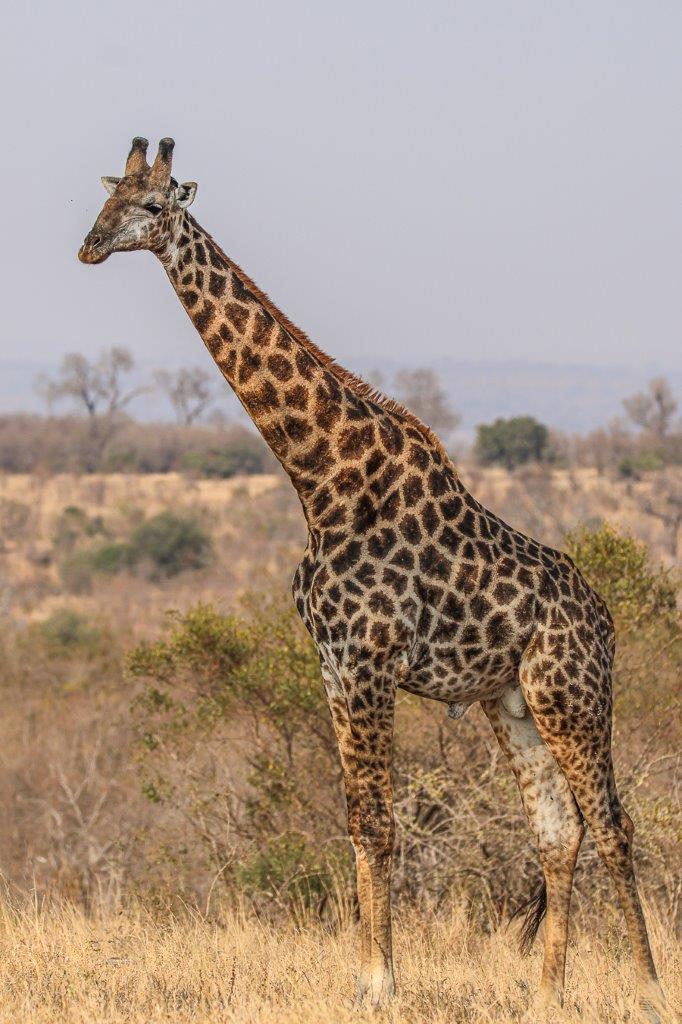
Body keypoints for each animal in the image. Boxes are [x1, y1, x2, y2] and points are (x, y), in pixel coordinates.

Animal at [79, 138, 667, 1019]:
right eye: (108, 196)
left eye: (152, 206)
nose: (89, 246)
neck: (319, 475)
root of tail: (608, 620)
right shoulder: (333, 663)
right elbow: (358, 820)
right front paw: (365, 975)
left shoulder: (370, 658)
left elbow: (383, 825)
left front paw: (382, 983)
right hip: (512, 701)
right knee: (558, 830)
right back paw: (547, 990)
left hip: (573, 693)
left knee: (613, 825)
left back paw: (647, 984)